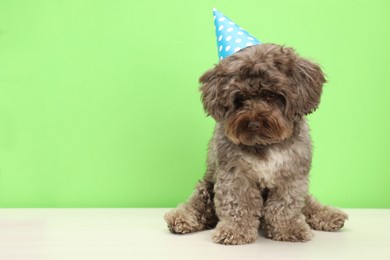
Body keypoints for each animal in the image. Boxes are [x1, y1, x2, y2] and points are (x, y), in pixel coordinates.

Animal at [165, 43, 348, 245]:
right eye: (239, 98)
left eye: (270, 95)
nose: (253, 123)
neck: (264, 144)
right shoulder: (235, 176)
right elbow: (238, 205)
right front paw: (235, 231)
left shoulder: (291, 176)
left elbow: (285, 206)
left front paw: (288, 228)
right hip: (206, 184)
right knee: (198, 204)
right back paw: (181, 218)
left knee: (308, 204)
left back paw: (328, 215)